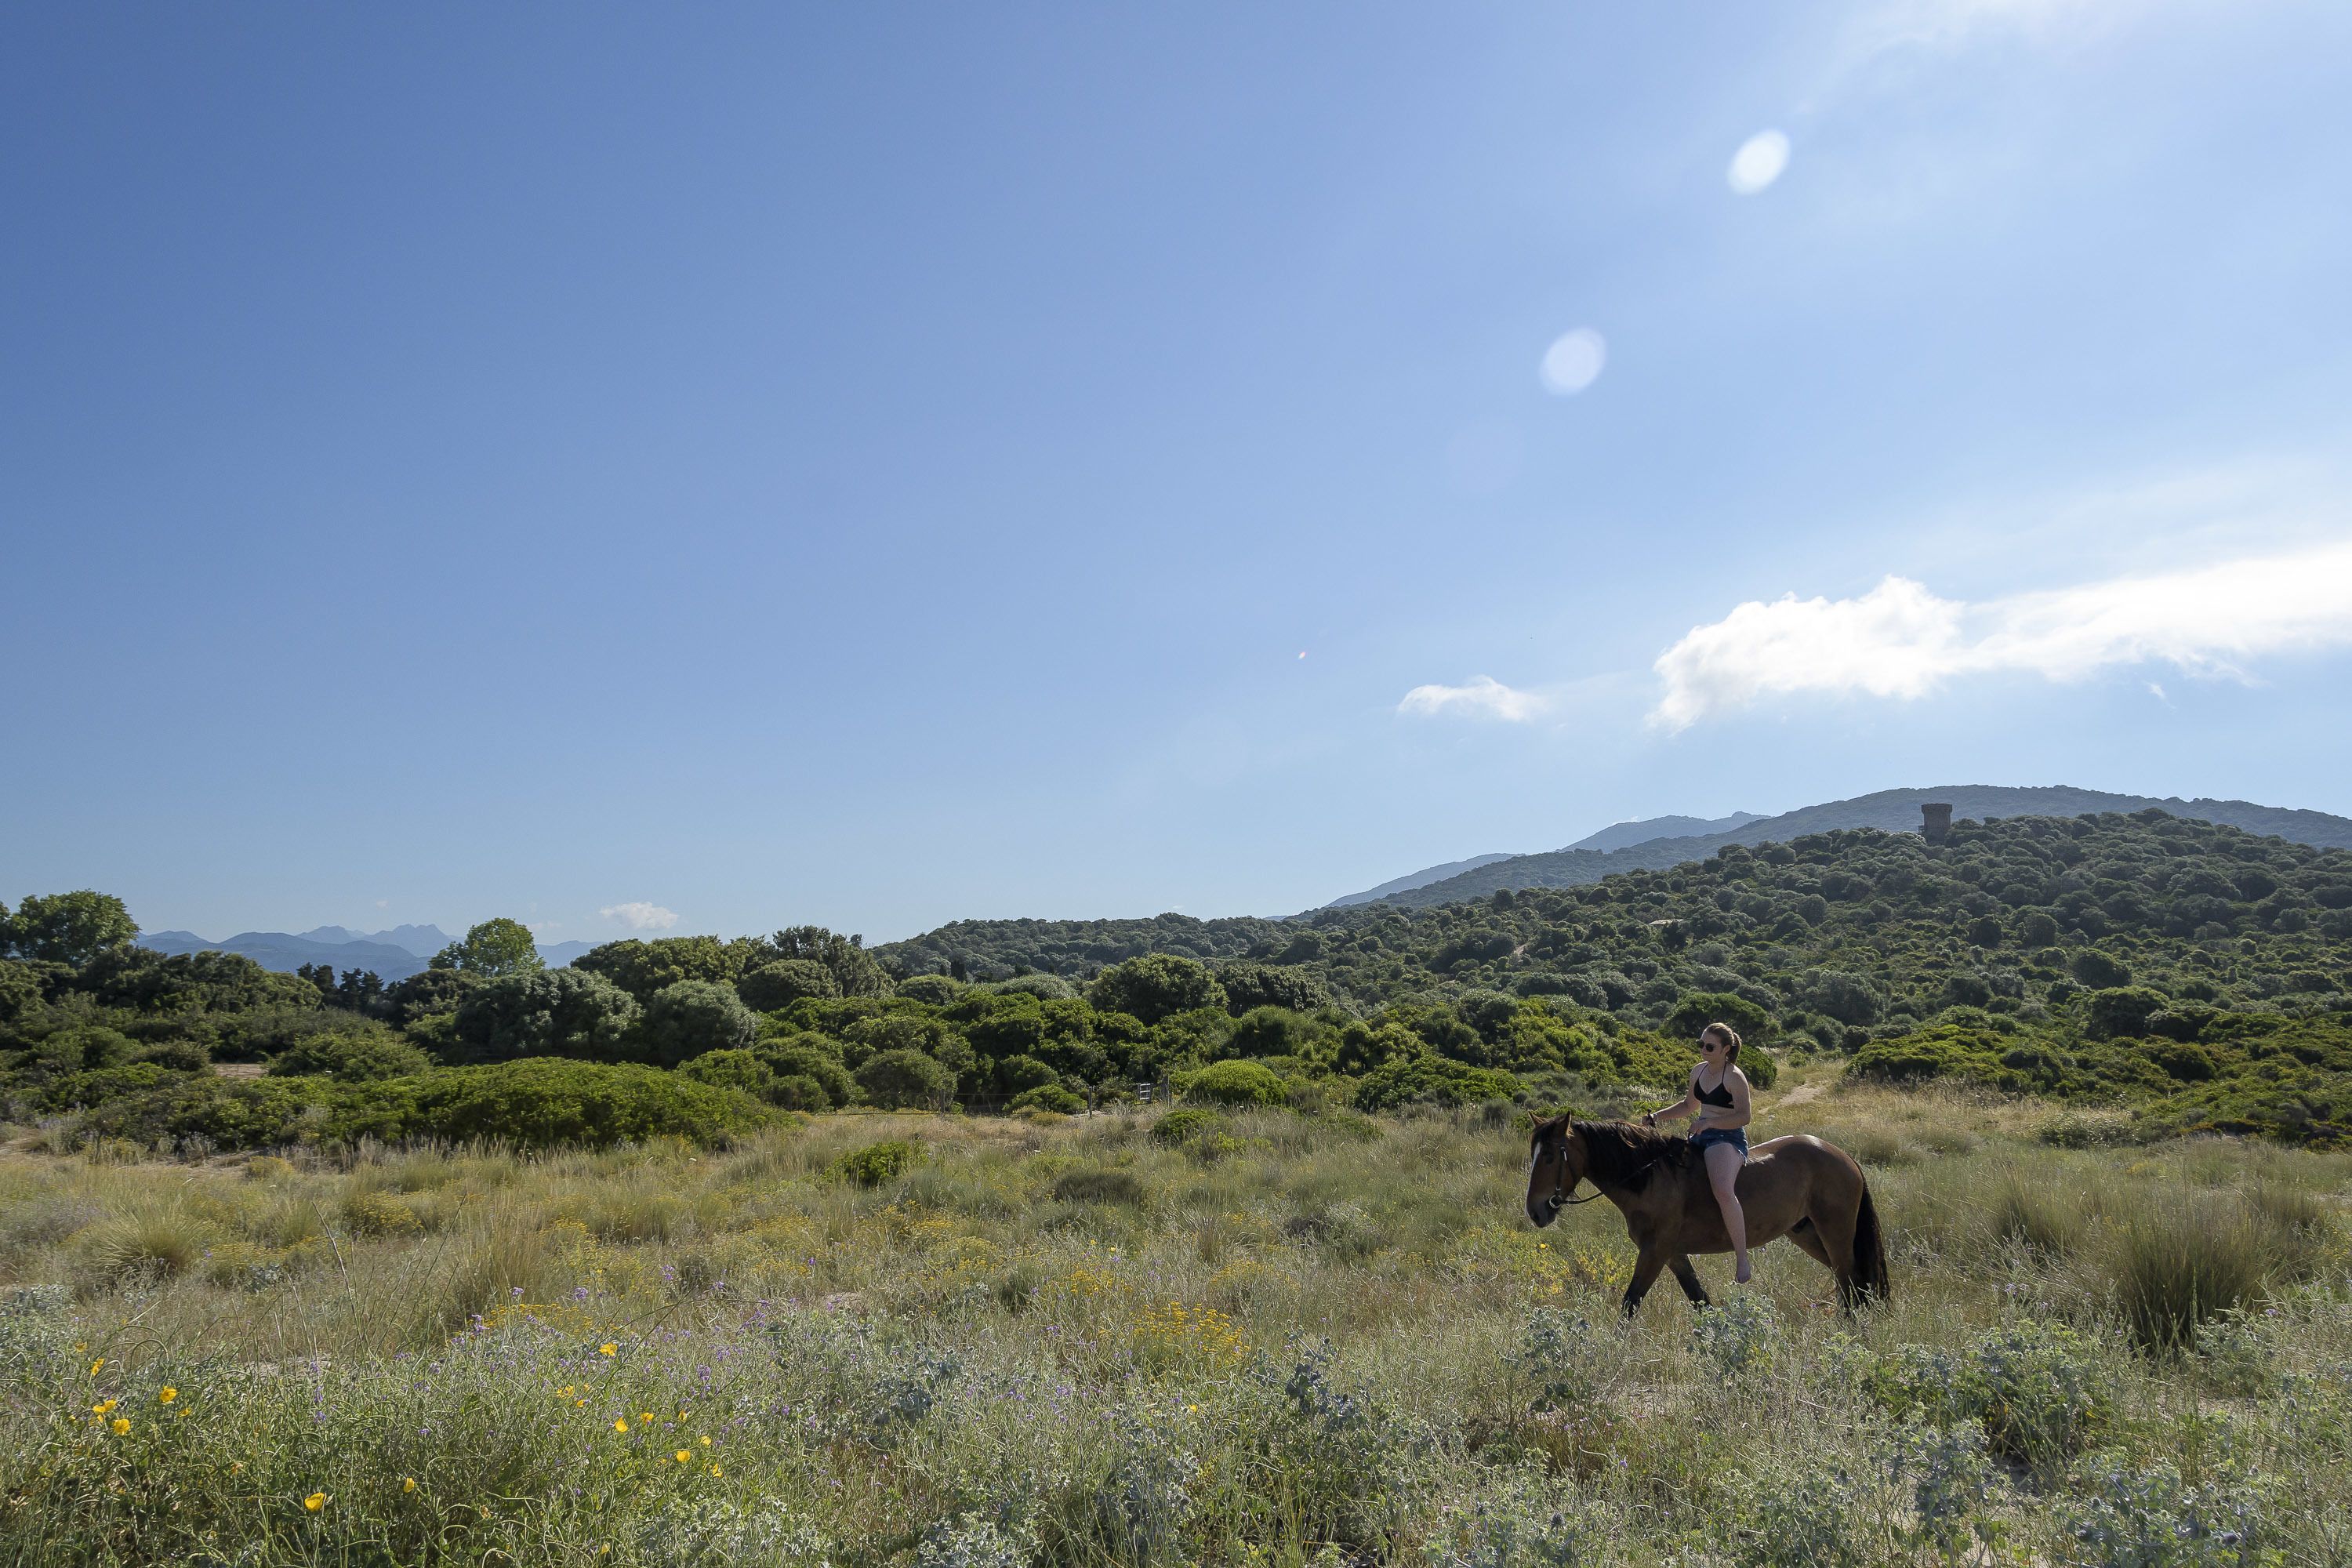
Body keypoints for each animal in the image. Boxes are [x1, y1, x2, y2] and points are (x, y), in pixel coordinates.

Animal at [1524, 1116, 1889, 1315]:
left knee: (1851, 1281)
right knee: (1855, 1281)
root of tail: (1844, 1157)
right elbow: (1700, 1301)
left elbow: (1631, 1302)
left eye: (1550, 1157)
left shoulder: (1655, 1252)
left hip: (1834, 1232)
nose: (1535, 1211)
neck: (1650, 1177)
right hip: (1807, 1233)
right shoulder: (1673, 1254)